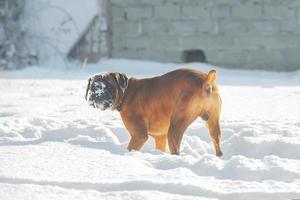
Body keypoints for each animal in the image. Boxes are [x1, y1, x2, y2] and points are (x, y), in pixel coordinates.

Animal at [85, 68, 223, 156]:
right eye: (92, 87)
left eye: (109, 86)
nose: (97, 94)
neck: (127, 92)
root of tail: (206, 79)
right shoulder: (160, 138)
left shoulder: (139, 135)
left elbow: (131, 148)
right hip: (213, 124)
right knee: (216, 142)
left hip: (175, 128)